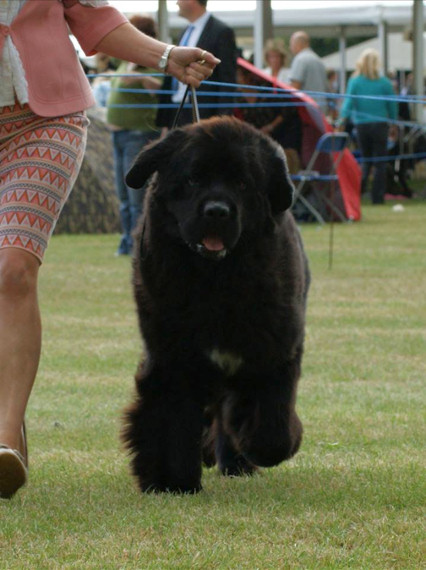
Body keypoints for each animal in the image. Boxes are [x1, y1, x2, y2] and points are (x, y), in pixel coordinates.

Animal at [122, 116, 310, 492]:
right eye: (193, 178)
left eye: (242, 183)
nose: (217, 211)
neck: (215, 281)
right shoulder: (173, 357)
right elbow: (171, 418)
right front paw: (172, 482)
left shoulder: (275, 349)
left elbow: (271, 427)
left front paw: (254, 441)